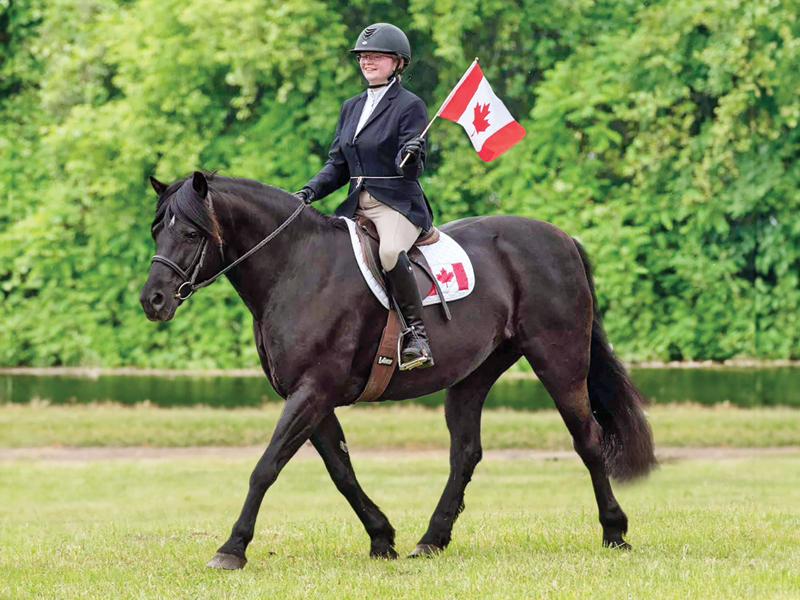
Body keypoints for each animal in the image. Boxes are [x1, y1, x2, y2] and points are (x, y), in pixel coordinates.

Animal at [140, 171, 656, 569]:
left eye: (190, 233)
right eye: (155, 231)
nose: (153, 301)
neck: (296, 267)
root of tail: (562, 237)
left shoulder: (312, 391)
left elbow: (265, 467)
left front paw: (232, 549)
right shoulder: (312, 396)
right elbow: (341, 471)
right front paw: (381, 536)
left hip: (558, 360)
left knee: (587, 439)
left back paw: (614, 532)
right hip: (473, 374)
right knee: (465, 453)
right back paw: (431, 539)